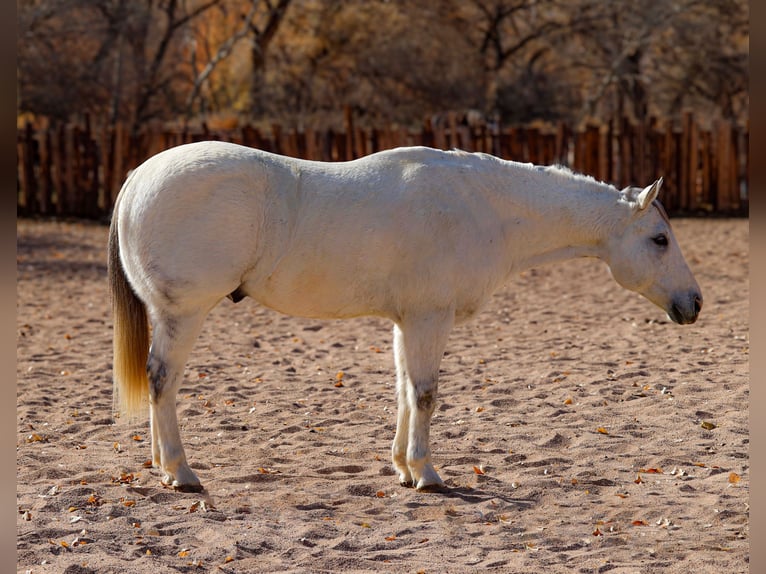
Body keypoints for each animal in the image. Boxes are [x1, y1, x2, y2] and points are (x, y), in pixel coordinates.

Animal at [108, 142, 704, 492]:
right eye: (659, 239)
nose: (694, 303)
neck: (482, 206)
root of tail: (139, 177)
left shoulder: (406, 322)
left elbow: (402, 392)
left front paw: (400, 466)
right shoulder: (428, 319)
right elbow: (425, 395)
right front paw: (427, 473)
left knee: (162, 384)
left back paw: (162, 466)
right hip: (184, 314)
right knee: (163, 380)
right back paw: (181, 472)